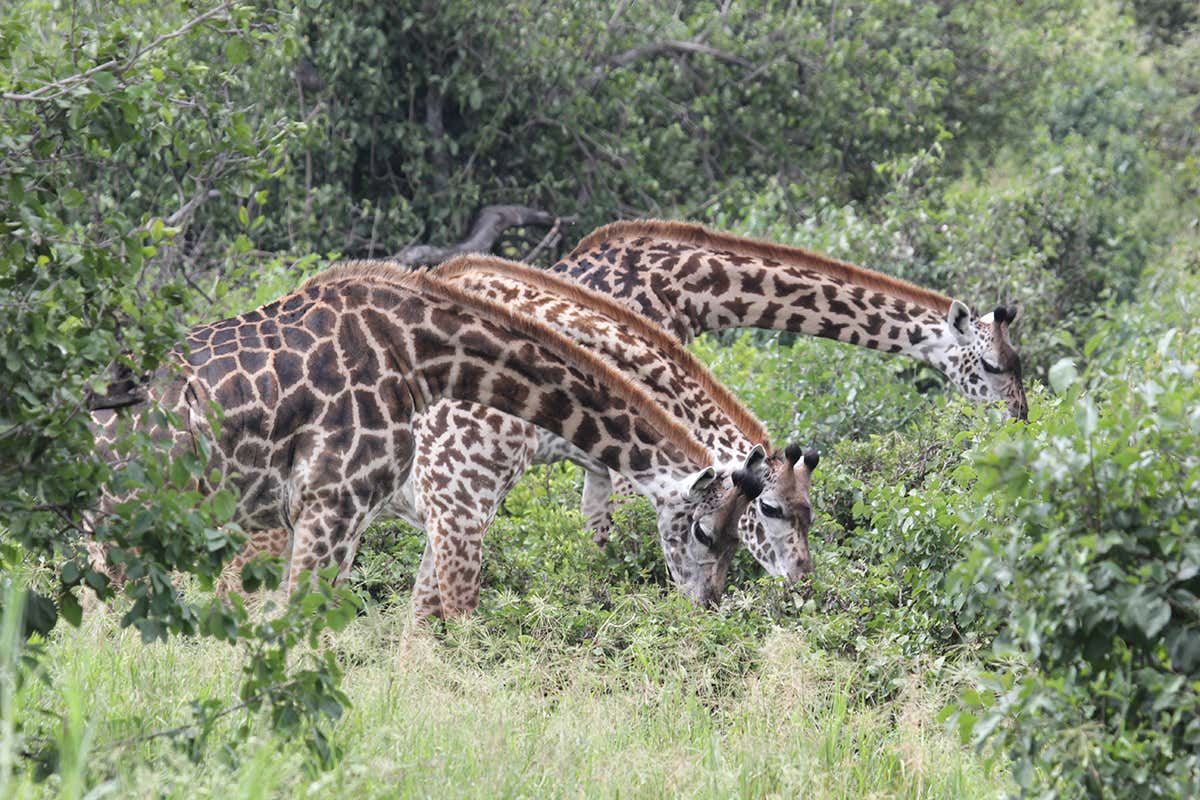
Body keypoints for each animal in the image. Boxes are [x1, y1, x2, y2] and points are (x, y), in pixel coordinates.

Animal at [88, 264, 768, 605]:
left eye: (745, 538)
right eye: (705, 532)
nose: (709, 606)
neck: (421, 353)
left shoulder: (398, 514)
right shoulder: (342, 504)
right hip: (132, 514)